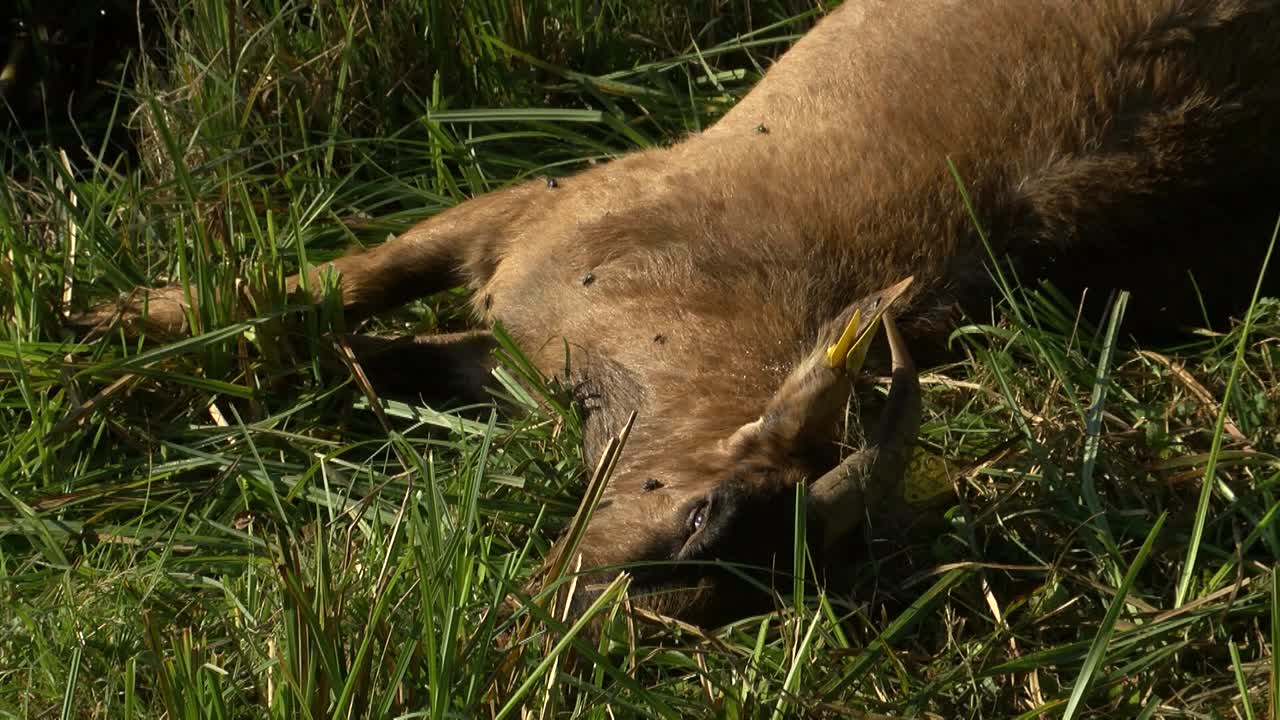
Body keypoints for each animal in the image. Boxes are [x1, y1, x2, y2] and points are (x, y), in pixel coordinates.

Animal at [73, 0, 1280, 626]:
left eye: (748, 587)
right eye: (705, 514)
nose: (554, 618)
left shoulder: (510, 336)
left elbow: (380, 356)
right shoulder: (544, 212)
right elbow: (344, 285)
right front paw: (106, 325)